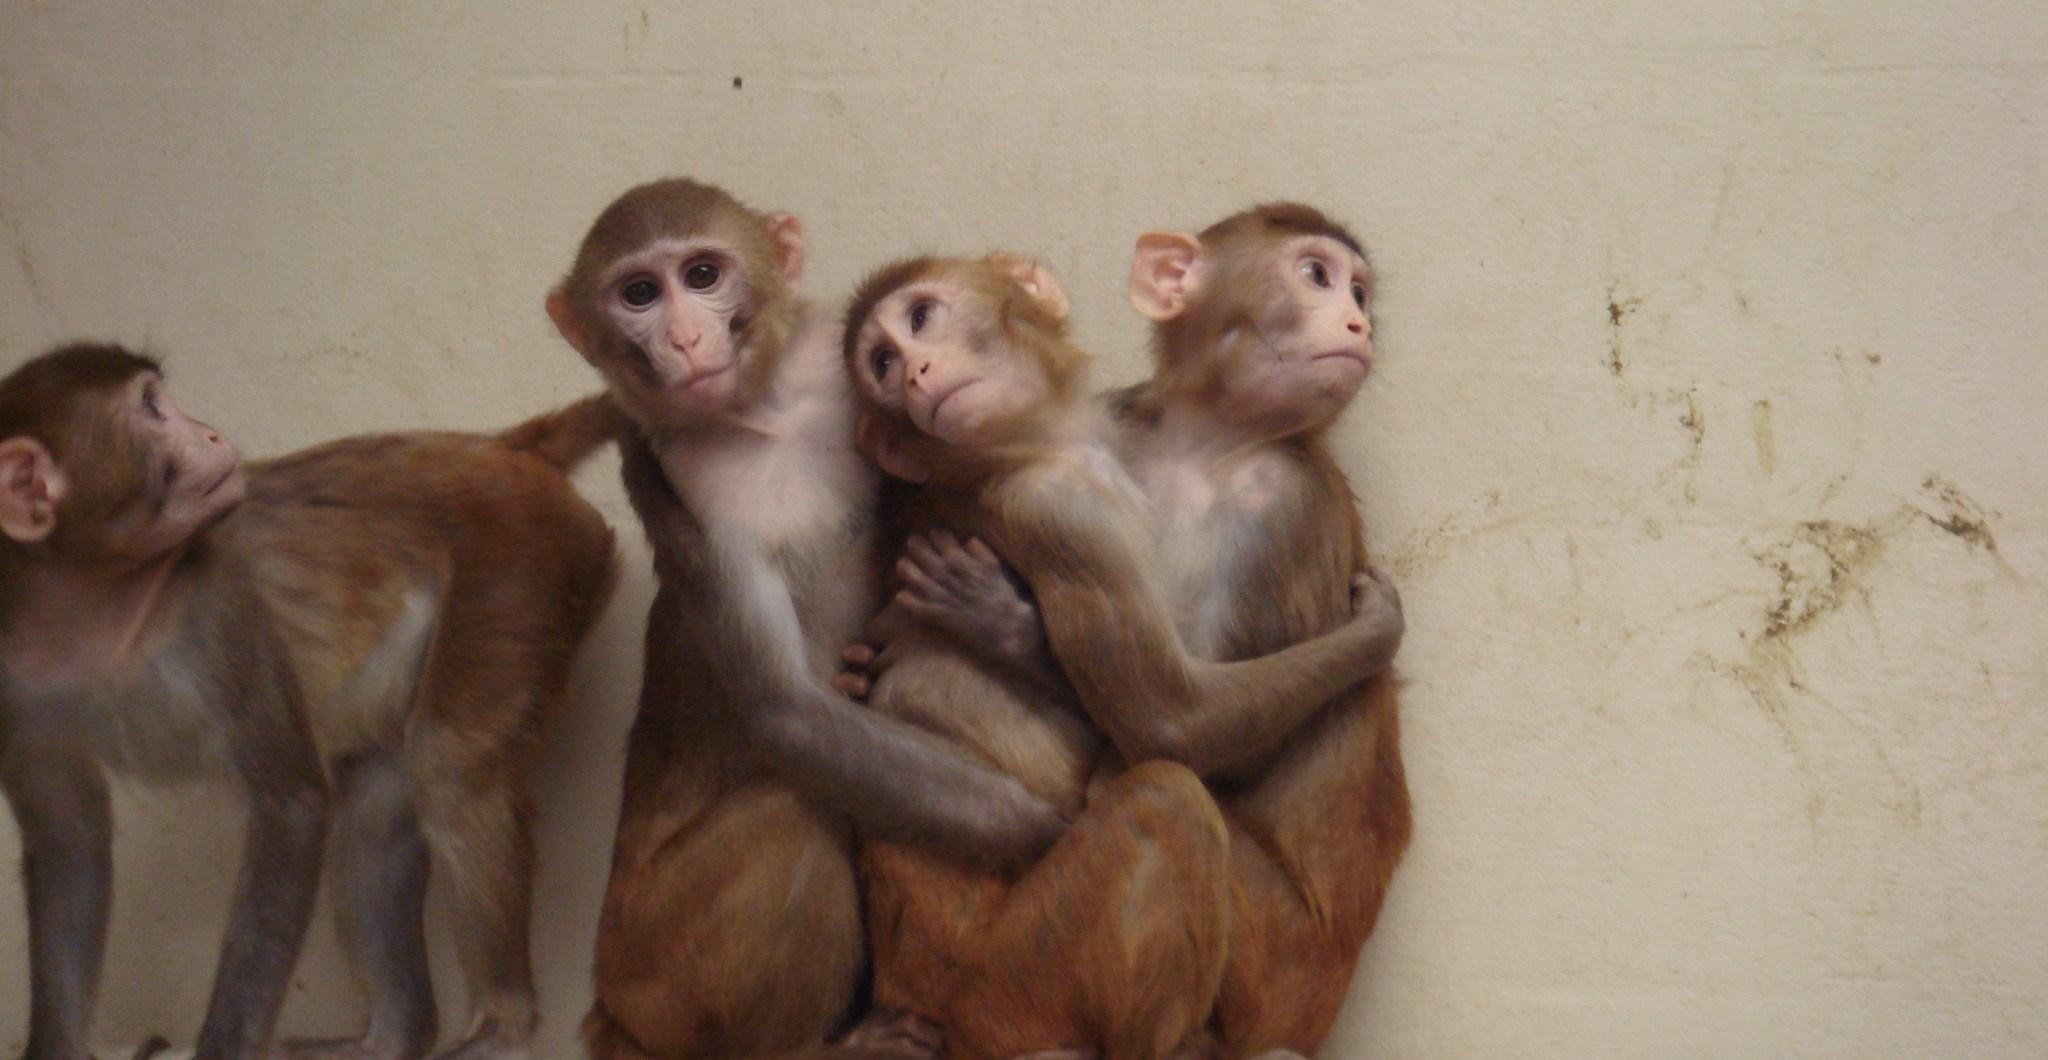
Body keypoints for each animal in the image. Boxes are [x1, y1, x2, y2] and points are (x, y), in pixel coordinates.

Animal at [0, 343, 620, 1060]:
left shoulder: (220, 609)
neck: (101, 611)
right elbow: (67, 843)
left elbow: (291, 807)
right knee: (379, 801)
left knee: (450, 765)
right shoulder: (13, 681)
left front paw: (222, 1047)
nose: (209, 433)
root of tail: (496, 449)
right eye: (154, 409)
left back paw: (500, 1027)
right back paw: (392, 1035)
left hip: (520, 566)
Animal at [543, 179, 1070, 1060]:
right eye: (639, 293)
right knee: (794, 803)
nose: (685, 338)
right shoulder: (686, 484)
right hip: (661, 970)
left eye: (702, 274)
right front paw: (1050, 826)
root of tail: (609, 1005)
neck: (769, 412)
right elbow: (784, 709)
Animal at [848, 205, 1414, 1055]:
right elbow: (1172, 724)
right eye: (1316, 276)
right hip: (1012, 984)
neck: (1207, 446)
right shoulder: (1070, 501)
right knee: (1162, 797)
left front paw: (994, 621)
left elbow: (1191, 738)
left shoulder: (1285, 502)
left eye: (1353, 288)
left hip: (1272, 971)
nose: (1357, 320)